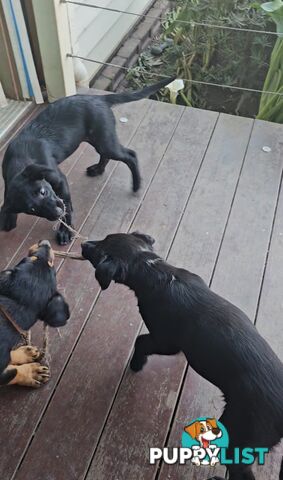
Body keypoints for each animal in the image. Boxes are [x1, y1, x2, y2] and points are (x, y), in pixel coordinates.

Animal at [0, 79, 174, 246]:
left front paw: (65, 231)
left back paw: (136, 185)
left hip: (105, 141)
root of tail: (99, 98)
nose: (56, 213)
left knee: (131, 155)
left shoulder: (60, 180)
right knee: (107, 156)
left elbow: (68, 207)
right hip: (97, 139)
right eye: (32, 209)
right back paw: (98, 170)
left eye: (43, 191)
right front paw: (8, 218)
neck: (19, 160)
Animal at [0, 238, 69, 388]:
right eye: (33, 258)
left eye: (50, 264)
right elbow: (12, 372)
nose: (46, 242)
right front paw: (33, 373)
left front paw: (25, 358)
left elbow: (12, 369)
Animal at [81, 232, 283, 476]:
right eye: (106, 237)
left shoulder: (165, 341)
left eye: (99, 253)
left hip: (241, 432)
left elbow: (141, 341)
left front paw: (137, 364)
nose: (82, 244)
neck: (153, 269)